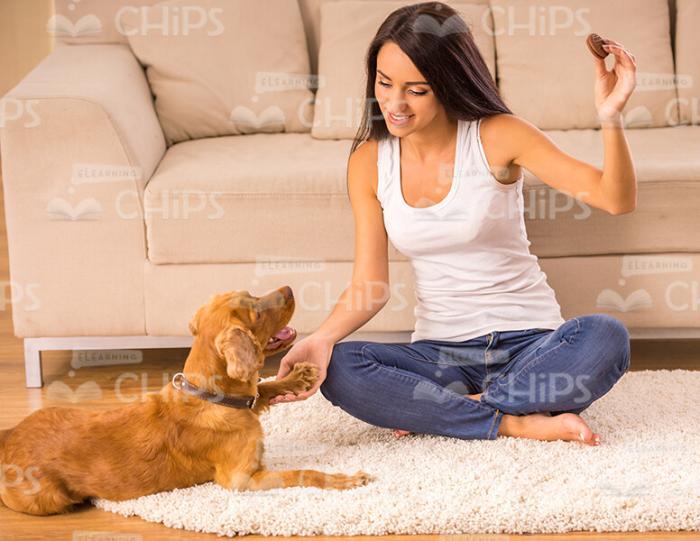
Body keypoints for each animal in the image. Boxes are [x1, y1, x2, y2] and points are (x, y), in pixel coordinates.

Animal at [0, 284, 374, 512]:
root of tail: (10, 436)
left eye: (252, 294)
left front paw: (299, 376)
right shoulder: (241, 480)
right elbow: (303, 473)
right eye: (255, 312)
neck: (211, 397)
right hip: (47, 497)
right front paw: (346, 480)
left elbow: (263, 387)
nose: (290, 289)